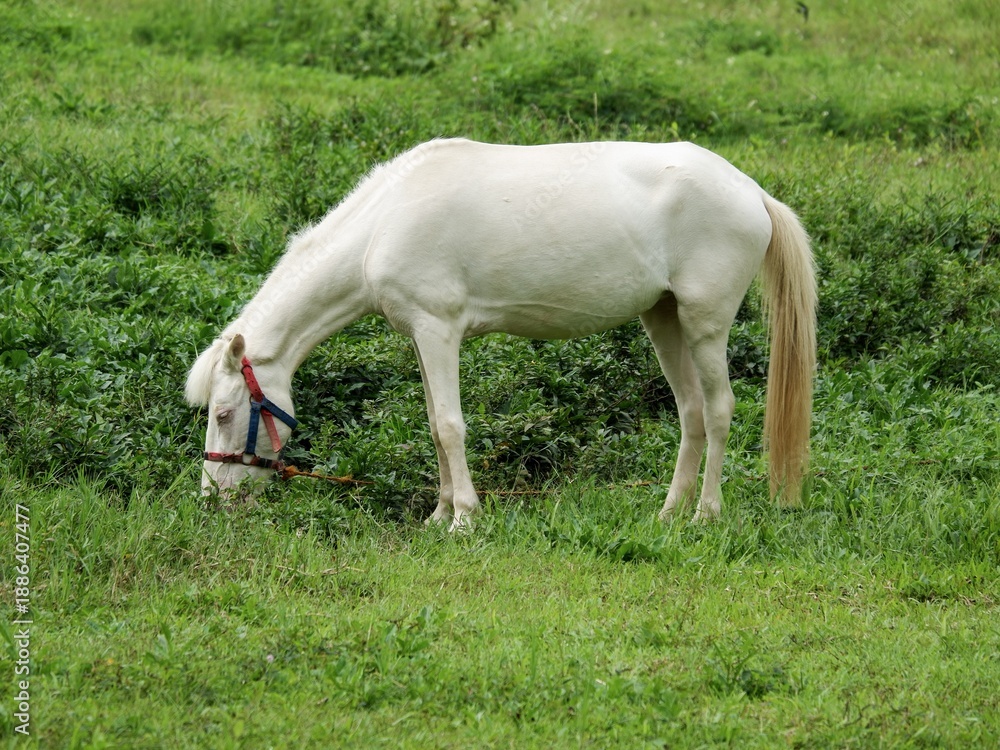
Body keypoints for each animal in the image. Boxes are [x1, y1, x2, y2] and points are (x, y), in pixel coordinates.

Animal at [186, 138, 816, 528]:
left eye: (224, 413)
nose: (211, 499)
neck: (385, 222)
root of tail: (751, 191)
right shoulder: (422, 336)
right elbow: (435, 426)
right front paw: (439, 514)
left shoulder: (438, 329)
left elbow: (449, 426)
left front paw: (465, 518)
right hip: (664, 319)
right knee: (690, 412)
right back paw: (668, 513)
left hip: (705, 324)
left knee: (719, 410)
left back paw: (705, 514)